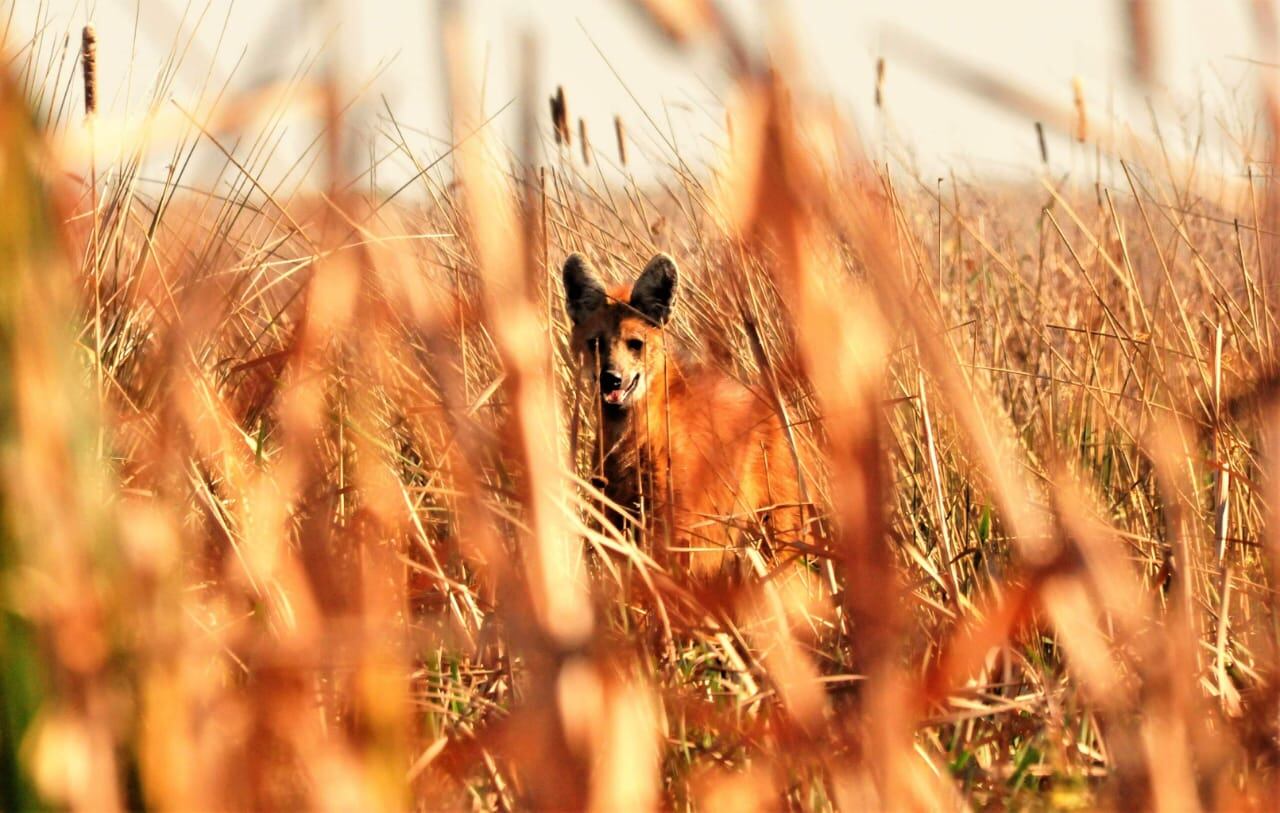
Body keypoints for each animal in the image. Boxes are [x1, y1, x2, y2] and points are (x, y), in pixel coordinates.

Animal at [558, 250, 798, 576]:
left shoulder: (675, 532)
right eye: (595, 343)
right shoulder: (621, 528)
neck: (634, 442)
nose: (612, 379)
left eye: (635, 344)